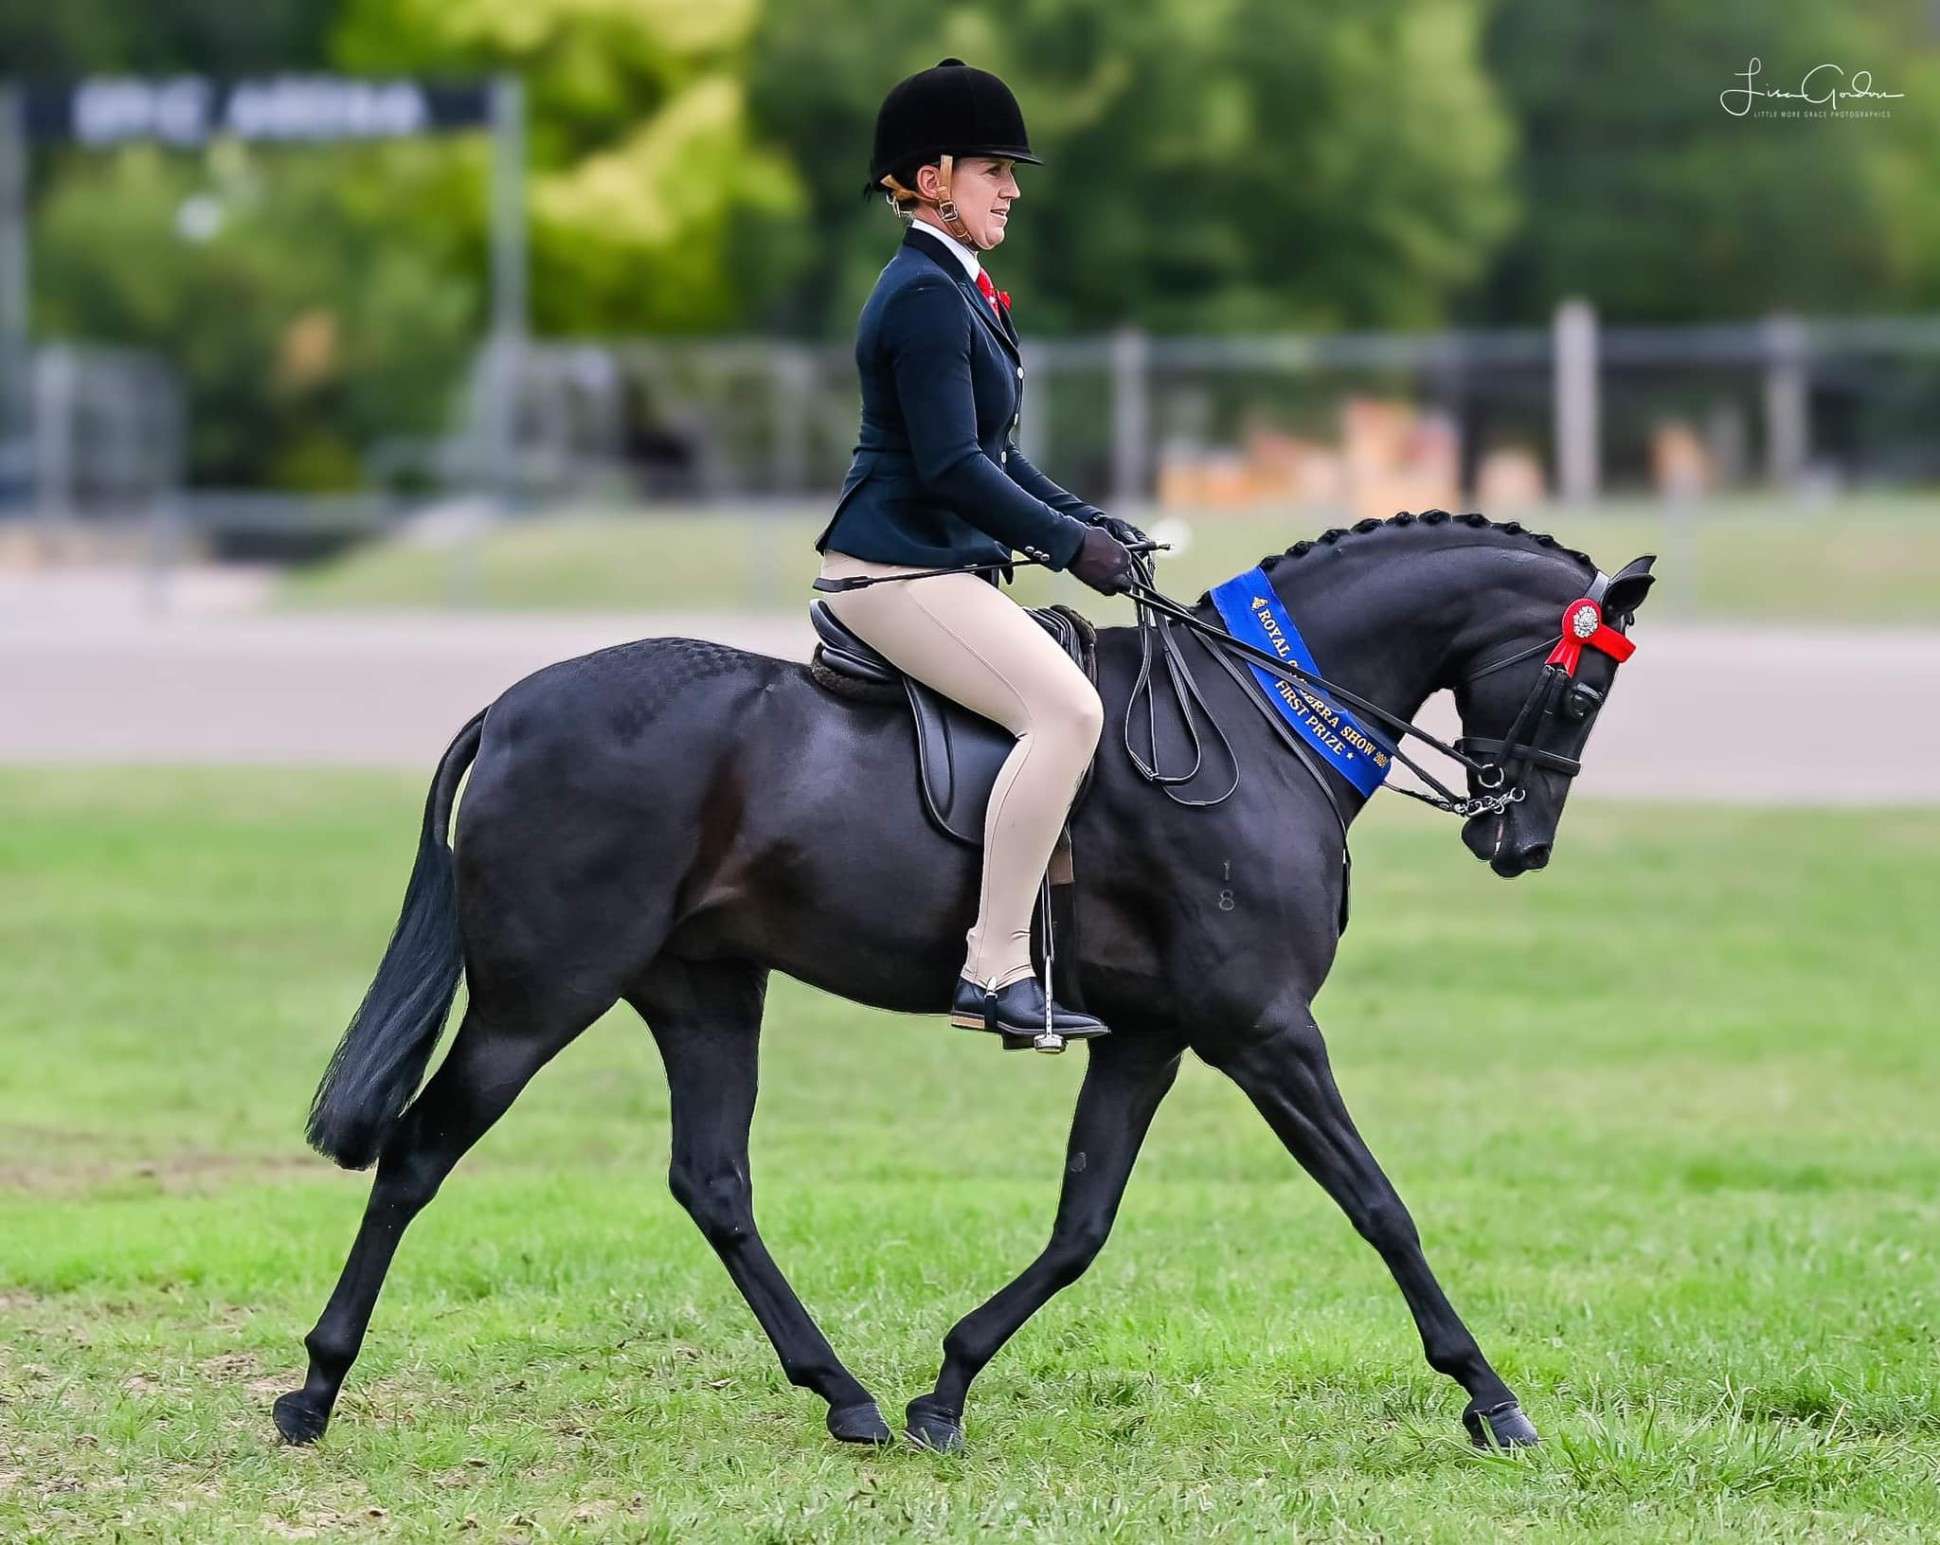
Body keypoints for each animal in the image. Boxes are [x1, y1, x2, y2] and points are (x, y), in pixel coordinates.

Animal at [277, 512, 1652, 1451]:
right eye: (1582, 686)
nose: (1517, 843)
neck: (1255, 720)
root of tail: (514, 706)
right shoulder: (1262, 1029)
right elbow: (1378, 1206)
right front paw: (1490, 1396)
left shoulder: (1149, 1037)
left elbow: (1080, 1226)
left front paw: (945, 1387)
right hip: (540, 996)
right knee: (418, 1155)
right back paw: (315, 1387)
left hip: (703, 988)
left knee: (712, 1183)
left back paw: (845, 1397)